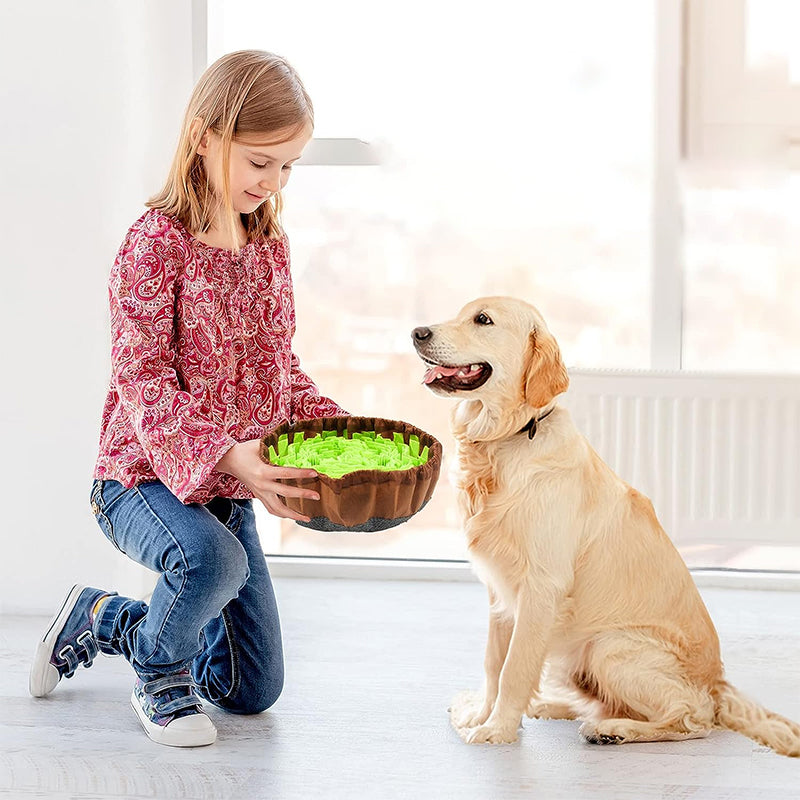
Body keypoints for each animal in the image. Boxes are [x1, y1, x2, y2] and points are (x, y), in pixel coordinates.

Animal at [412, 296, 800, 752]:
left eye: (483, 320)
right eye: (460, 313)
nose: (417, 332)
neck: (510, 437)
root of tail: (718, 683)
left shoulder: (542, 587)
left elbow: (515, 667)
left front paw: (498, 729)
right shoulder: (499, 590)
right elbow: (494, 661)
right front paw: (483, 713)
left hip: (608, 645)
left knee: (692, 719)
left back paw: (613, 730)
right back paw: (554, 707)